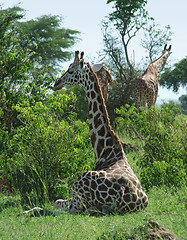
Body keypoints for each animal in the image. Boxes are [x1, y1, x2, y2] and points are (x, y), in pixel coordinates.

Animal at [51, 50, 148, 214]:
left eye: (70, 70)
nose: (56, 84)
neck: (105, 152)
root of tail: (123, 195)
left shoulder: (75, 199)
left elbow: (56, 202)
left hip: (79, 188)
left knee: (63, 209)